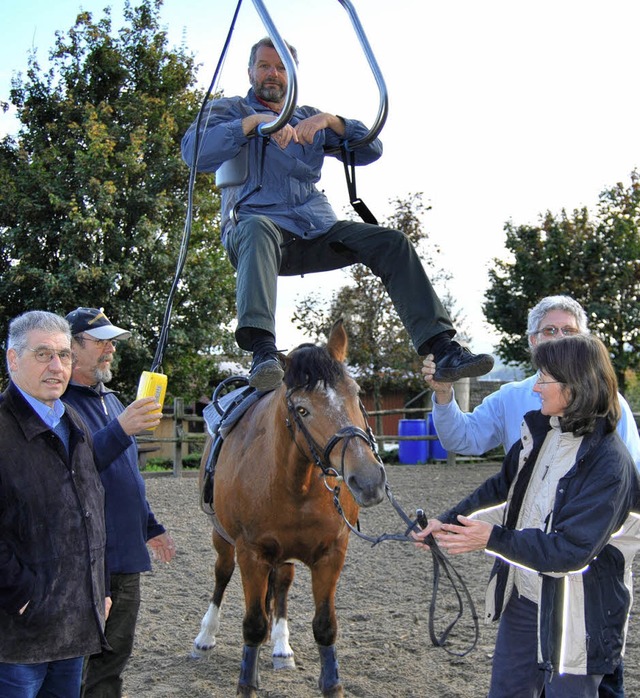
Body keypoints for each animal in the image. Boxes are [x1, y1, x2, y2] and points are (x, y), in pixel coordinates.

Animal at [192, 320, 388, 692]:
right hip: (221, 538)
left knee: (282, 583)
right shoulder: (250, 553)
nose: (368, 479)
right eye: (301, 409)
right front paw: (246, 683)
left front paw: (331, 684)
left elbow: (325, 627)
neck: (296, 485)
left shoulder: (331, 554)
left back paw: (282, 647)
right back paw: (205, 637)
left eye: (356, 395)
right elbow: (253, 625)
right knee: (222, 574)